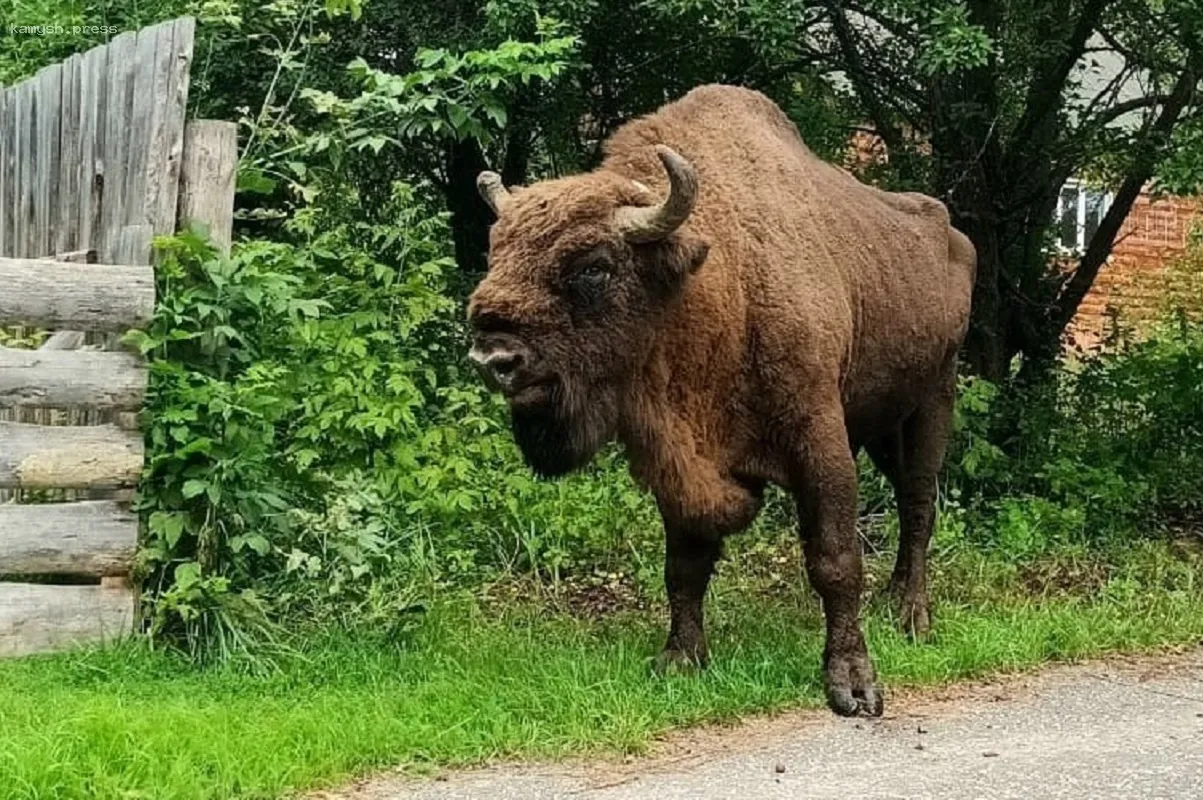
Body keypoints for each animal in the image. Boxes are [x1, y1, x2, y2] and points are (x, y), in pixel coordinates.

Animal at [464, 84, 972, 712]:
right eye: (495, 254)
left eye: (594, 268)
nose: (494, 358)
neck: (715, 282)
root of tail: (954, 237)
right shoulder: (680, 461)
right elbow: (684, 566)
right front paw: (681, 660)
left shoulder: (819, 438)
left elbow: (834, 559)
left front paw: (853, 683)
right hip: (879, 423)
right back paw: (893, 600)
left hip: (933, 402)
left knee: (917, 505)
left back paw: (911, 616)